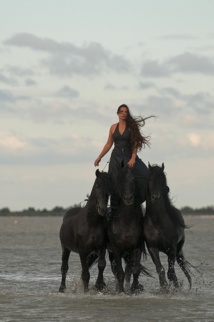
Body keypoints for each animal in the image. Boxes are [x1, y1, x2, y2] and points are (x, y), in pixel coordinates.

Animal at [144, 162, 192, 290]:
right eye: (150, 179)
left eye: (162, 179)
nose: (156, 197)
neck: (157, 222)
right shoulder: (152, 247)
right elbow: (160, 268)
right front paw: (164, 288)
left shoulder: (172, 247)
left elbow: (171, 272)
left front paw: (176, 287)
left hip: (178, 249)